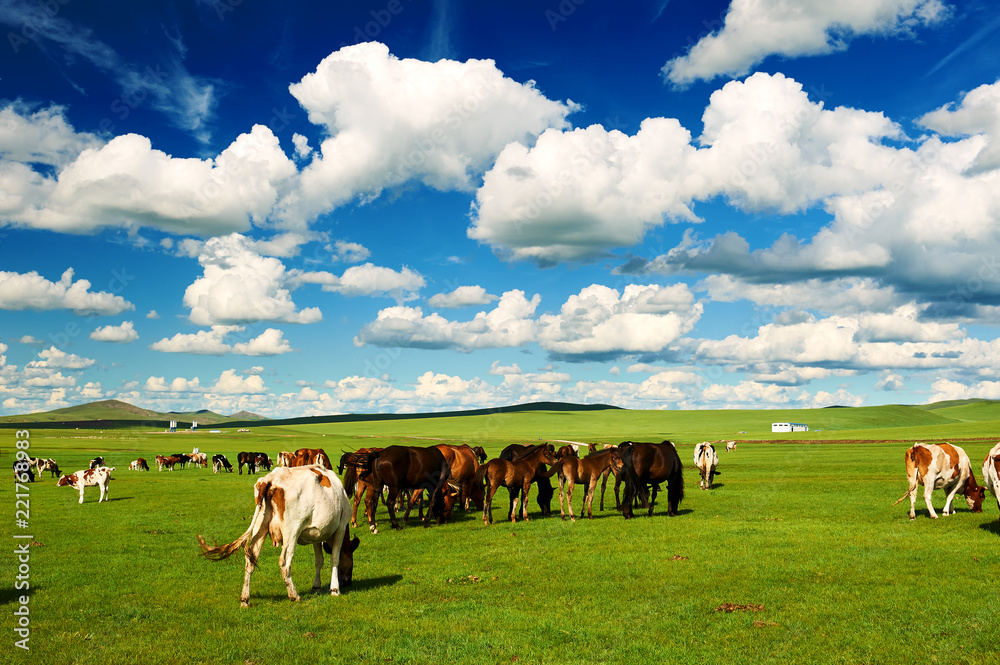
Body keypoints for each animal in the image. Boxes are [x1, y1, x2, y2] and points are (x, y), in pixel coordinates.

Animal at [195, 466, 360, 608]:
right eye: (351, 562)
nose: (349, 581)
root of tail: (270, 479)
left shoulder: (317, 534)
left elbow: (319, 560)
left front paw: (316, 586)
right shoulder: (340, 528)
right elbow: (334, 559)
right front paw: (335, 589)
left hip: (259, 527)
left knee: (250, 560)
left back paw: (245, 599)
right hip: (292, 531)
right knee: (284, 563)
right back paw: (294, 595)